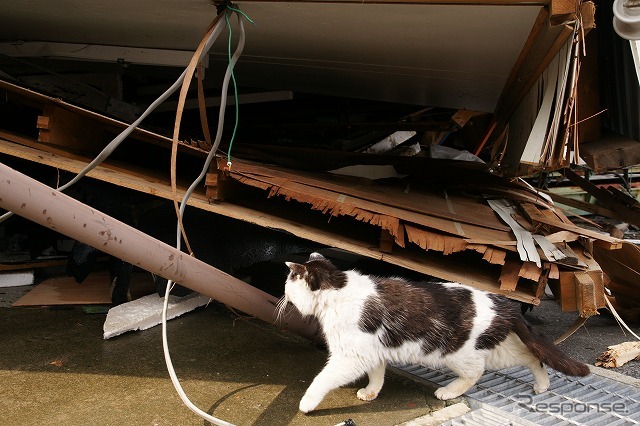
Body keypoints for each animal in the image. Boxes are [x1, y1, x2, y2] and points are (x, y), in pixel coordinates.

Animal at [280, 253, 592, 412]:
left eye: (289, 281)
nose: (283, 293)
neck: (338, 291)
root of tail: (505, 303)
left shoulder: (350, 357)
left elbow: (322, 379)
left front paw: (306, 404)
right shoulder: (373, 351)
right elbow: (377, 375)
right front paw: (370, 393)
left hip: (456, 353)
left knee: (476, 372)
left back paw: (448, 391)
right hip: (500, 350)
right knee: (533, 357)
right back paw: (542, 385)